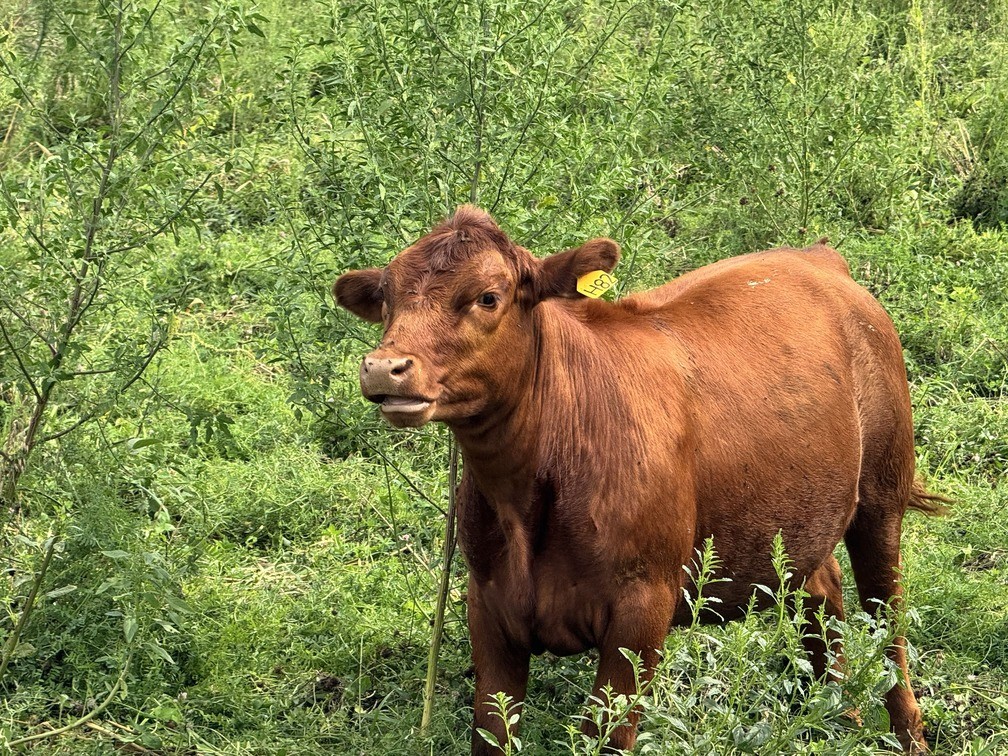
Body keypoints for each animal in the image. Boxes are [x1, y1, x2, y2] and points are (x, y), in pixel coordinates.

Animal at [333, 205, 945, 754]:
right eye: (387, 297)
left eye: (488, 296)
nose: (384, 367)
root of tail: (817, 257)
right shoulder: (487, 606)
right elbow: (493, 734)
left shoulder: (643, 608)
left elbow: (606, 738)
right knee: (823, 592)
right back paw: (840, 717)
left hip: (882, 494)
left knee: (887, 620)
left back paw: (909, 734)